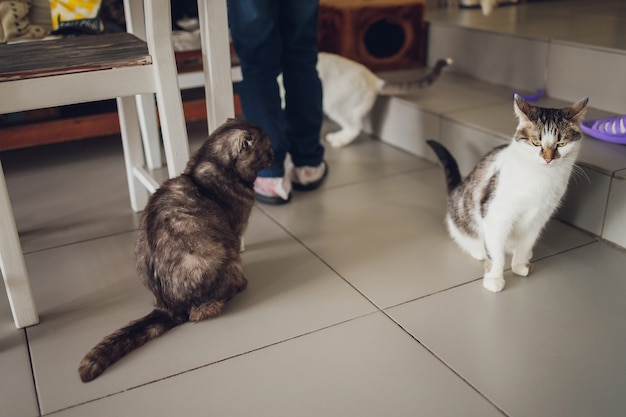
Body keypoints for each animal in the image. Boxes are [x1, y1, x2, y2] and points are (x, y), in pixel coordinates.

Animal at [78, 117, 272, 380]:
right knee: (201, 312)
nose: (274, 153)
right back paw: (239, 286)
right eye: (267, 146)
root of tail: (169, 307)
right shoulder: (236, 228)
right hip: (225, 260)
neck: (207, 164)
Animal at [426, 96, 588, 292]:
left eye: (561, 144)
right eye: (536, 143)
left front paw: (520, 265)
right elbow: (496, 253)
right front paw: (494, 278)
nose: (548, 159)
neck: (540, 178)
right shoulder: (496, 214)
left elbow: (526, 244)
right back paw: (478, 250)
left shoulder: (539, 217)